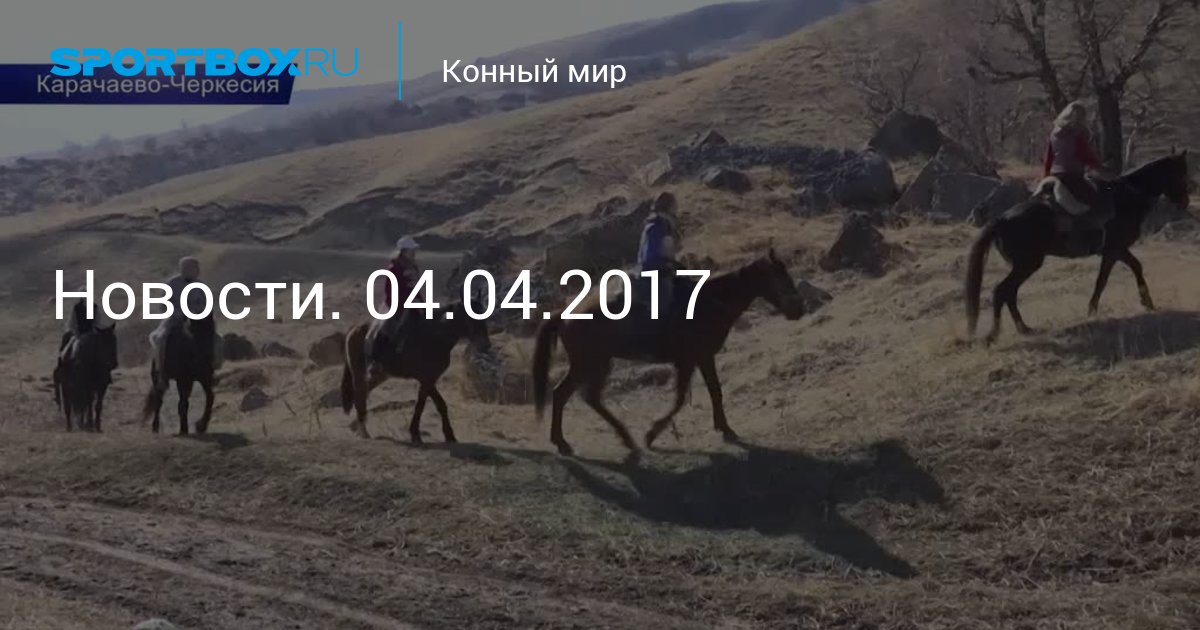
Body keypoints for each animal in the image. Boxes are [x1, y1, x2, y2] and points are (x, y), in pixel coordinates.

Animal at [341, 300, 492, 443]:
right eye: (470, 317)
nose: (485, 345)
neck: (435, 336)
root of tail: (355, 329)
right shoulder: (426, 378)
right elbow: (435, 404)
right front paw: (434, 435)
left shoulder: (429, 379)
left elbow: (426, 404)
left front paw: (434, 435)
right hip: (361, 375)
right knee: (360, 395)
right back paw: (363, 431)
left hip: (376, 376)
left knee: (363, 393)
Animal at [532, 249, 806, 457]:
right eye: (780, 276)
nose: (798, 309)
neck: (709, 303)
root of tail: (564, 314)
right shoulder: (694, 359)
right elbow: (687, 397)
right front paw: (652, 434)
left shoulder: (697, 359)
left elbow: (706, 392)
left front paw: (723, 428)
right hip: (590, 363)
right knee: (572, 395)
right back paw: (581, 441)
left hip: (595, 363)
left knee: (578, 396)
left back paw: (604, 439)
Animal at [966, 151, 1192, 343]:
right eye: (1182, 174)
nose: (1184, 203)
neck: (1127, 197)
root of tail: (1000, 220)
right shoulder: (1116, 249)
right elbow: (1131, 268)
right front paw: (1147, 302)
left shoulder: (1111, 253)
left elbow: (1102, 280)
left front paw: (1093, 310)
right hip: (1027, 264)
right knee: (1002, 291)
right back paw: (996, 333)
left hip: (1024, 266)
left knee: (1009, 293)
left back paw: (1024, 329)